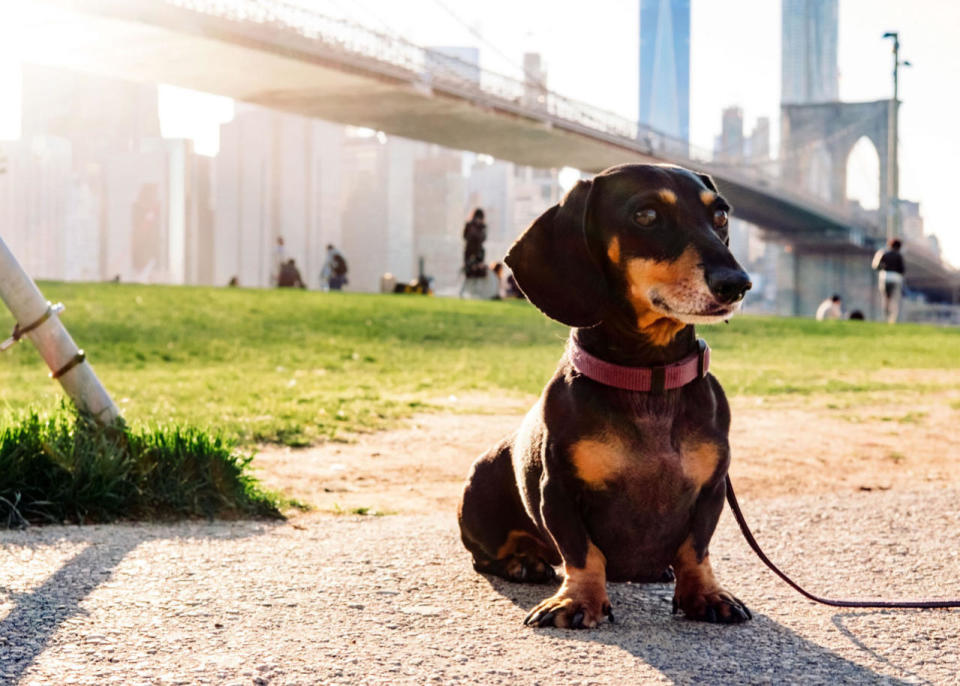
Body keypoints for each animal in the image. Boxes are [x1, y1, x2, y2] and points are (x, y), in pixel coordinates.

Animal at [462, 164, 752, 632]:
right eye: (646, 215)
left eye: (721, 215)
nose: (737, 285)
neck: (648, 378)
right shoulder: (557, 491)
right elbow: (583, 553)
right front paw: (578, 601)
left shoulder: (711, 489)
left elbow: (696, 548)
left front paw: (706, 594)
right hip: (480, 493)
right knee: (487, 557)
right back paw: (523, 562)